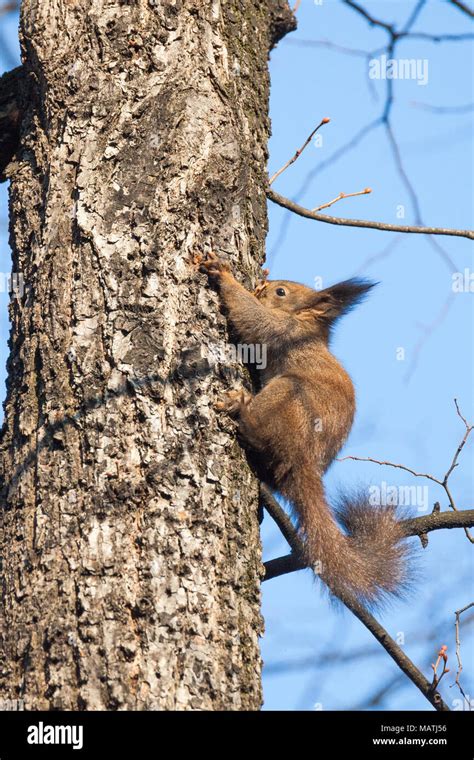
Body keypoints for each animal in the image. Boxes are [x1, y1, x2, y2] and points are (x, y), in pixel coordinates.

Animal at [200, 252, 412, 608]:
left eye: (281, 292)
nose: (265, 285)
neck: (309, 327)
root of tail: (305, 463)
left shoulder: (284, 330)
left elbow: (253, 318)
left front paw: (225, 276)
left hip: (287, 396)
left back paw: (242, 410)